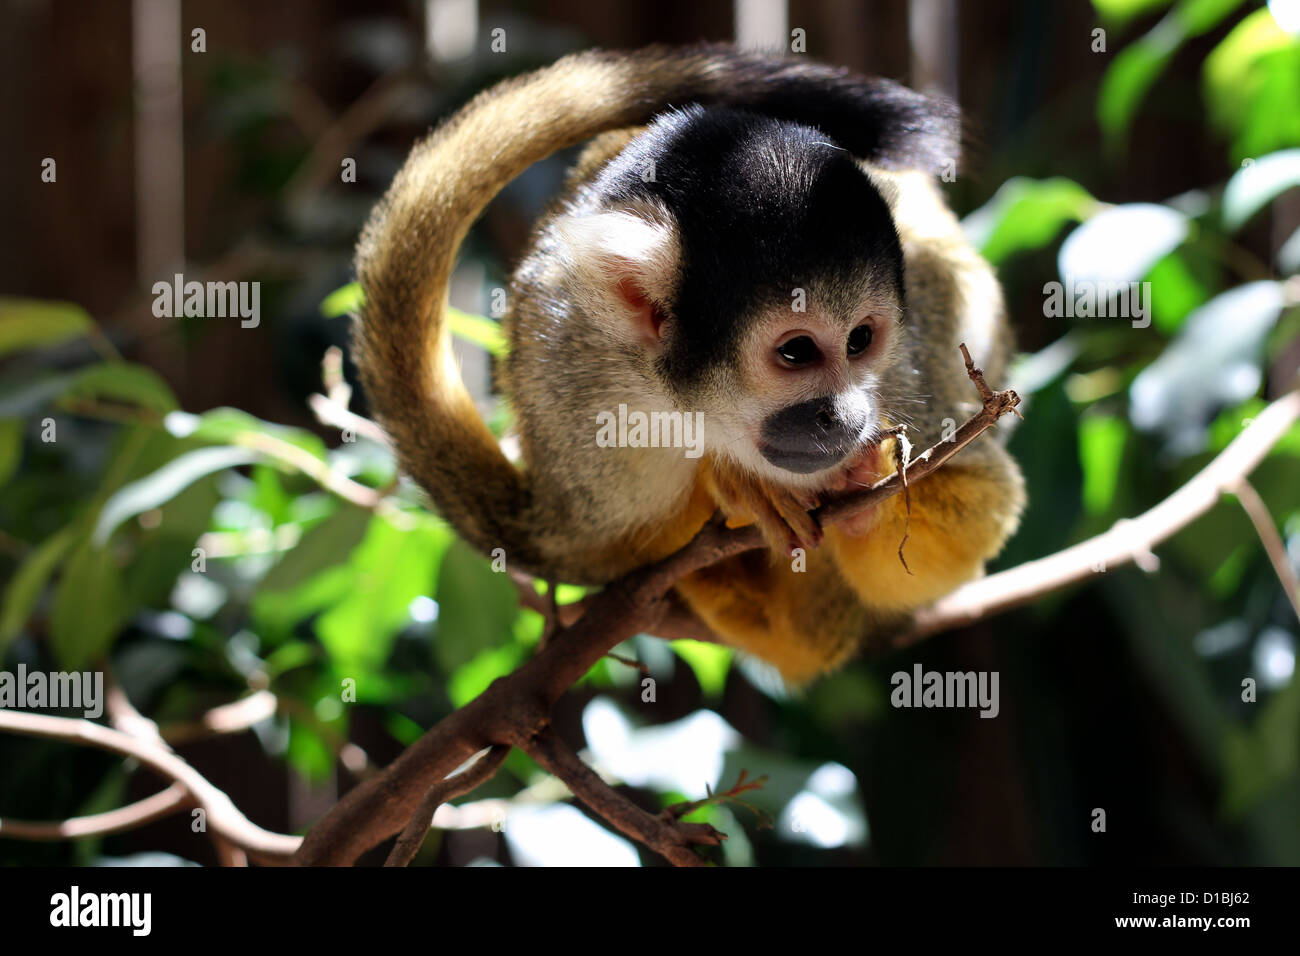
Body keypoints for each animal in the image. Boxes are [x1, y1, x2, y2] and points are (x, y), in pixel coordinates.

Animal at [356, 46, 1024, 686]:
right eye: (796, 351)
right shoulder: (569, 383)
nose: (849, 417)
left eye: (861, 339)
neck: (688, 407)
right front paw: (736, 485)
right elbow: (599, 551)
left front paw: (865, 488)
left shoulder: (907, 364)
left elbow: (980, 508)